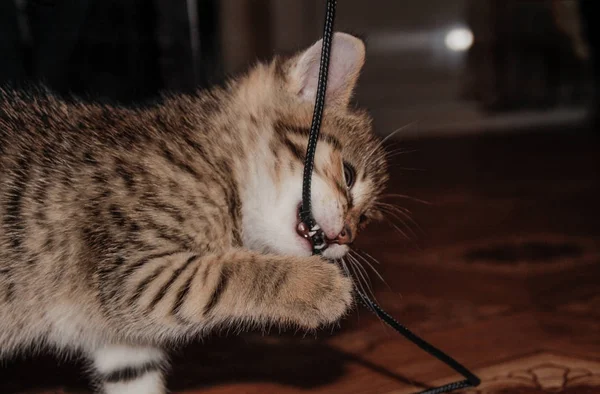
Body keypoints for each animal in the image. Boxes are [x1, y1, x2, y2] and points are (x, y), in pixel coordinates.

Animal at [0, 32, 390, 392]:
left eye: (364, 219)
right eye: (349, 175)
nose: (346, 237)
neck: (215, 159)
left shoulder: (124, 346)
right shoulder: (131, 272)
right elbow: (221, 275)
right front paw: (315, 286)